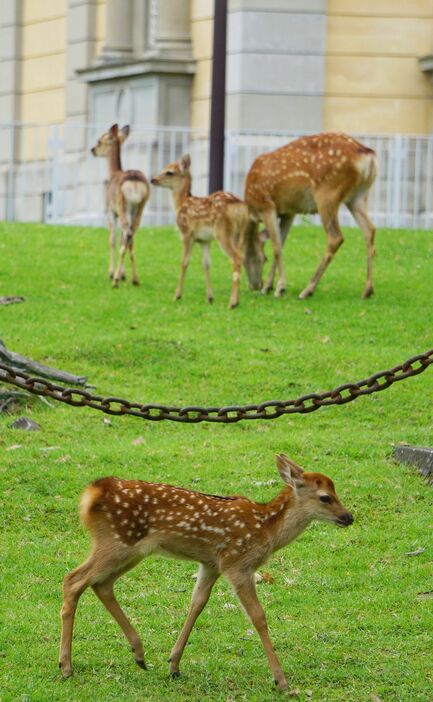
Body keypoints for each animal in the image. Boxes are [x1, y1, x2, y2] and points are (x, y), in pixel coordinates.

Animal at [59, 454, 352, 692]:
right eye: (326, 497)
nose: (348, 517)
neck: (266, 530)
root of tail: (92, 494)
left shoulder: (211, 564)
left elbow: (197, 604)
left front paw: (174, 664)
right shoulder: (238, 564)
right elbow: (258, 617)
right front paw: (281, 681)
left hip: (130, 550)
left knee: (101, 584)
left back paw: (138, 654)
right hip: (117, 542)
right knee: (73, 580)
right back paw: (66, 666)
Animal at [90, 124, 149, 286]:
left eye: (100, 141)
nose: (92, 150)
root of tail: (135, 183)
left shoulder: (110, 211)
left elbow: (112, 240)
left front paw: (112, 273)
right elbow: (123, 239)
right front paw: (123, 274)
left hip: (122, 207)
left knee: (125, 237)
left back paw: (115, 279)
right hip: (139, 208)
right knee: (131, 237)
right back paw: (135, 279)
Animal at [151, 157, 250, 310]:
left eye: (169, 172)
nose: (153, 179)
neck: (181, 204)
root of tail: (239, 207)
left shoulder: (186, 233)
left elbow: (184, 262)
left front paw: (177, 296)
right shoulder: (204, 240)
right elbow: (206, 264)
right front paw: (210, 298)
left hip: (222, 232)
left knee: (236, 258)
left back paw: (232, 303)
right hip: (240, 233)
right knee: (240, 257)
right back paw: (237, 301)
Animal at [245, 133, 376, 300]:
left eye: (260, 258)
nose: (254, 286)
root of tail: (368, 156)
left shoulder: (266, 206)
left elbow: (276, 247)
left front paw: (279, 288)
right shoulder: (289, 212)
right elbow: (281, 243)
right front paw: (269, 286)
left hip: (327, 194)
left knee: (336, 237)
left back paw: (307, 290)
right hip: (358, 196)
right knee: (369, 230)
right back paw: (367, 290)